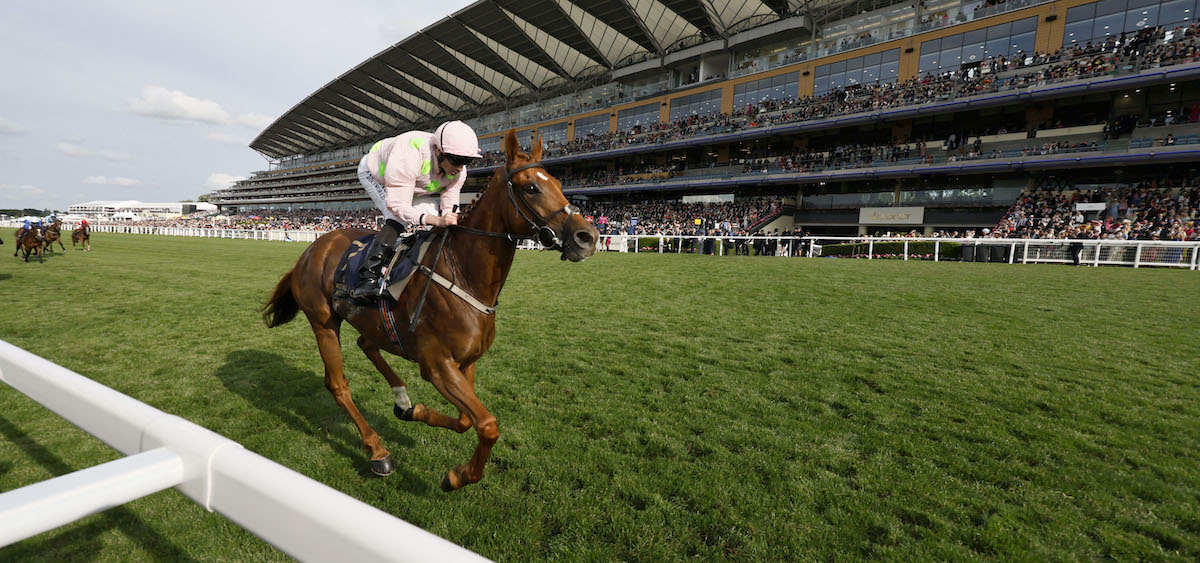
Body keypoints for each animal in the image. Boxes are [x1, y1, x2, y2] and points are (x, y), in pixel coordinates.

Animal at [264, 129, 600, 489]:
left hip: (373, 324)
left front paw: (417, 413)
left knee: (365, 344)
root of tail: (311, 249)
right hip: (323, 321)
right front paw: (458, 476)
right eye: (531, 187)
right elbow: (488, 425)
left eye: (559, 182)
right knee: (338, 385)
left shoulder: (466, 362)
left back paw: (402, 399)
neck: (463, 275)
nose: (588, 236)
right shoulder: (438, 365)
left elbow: (467, 421)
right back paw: (378, 451)